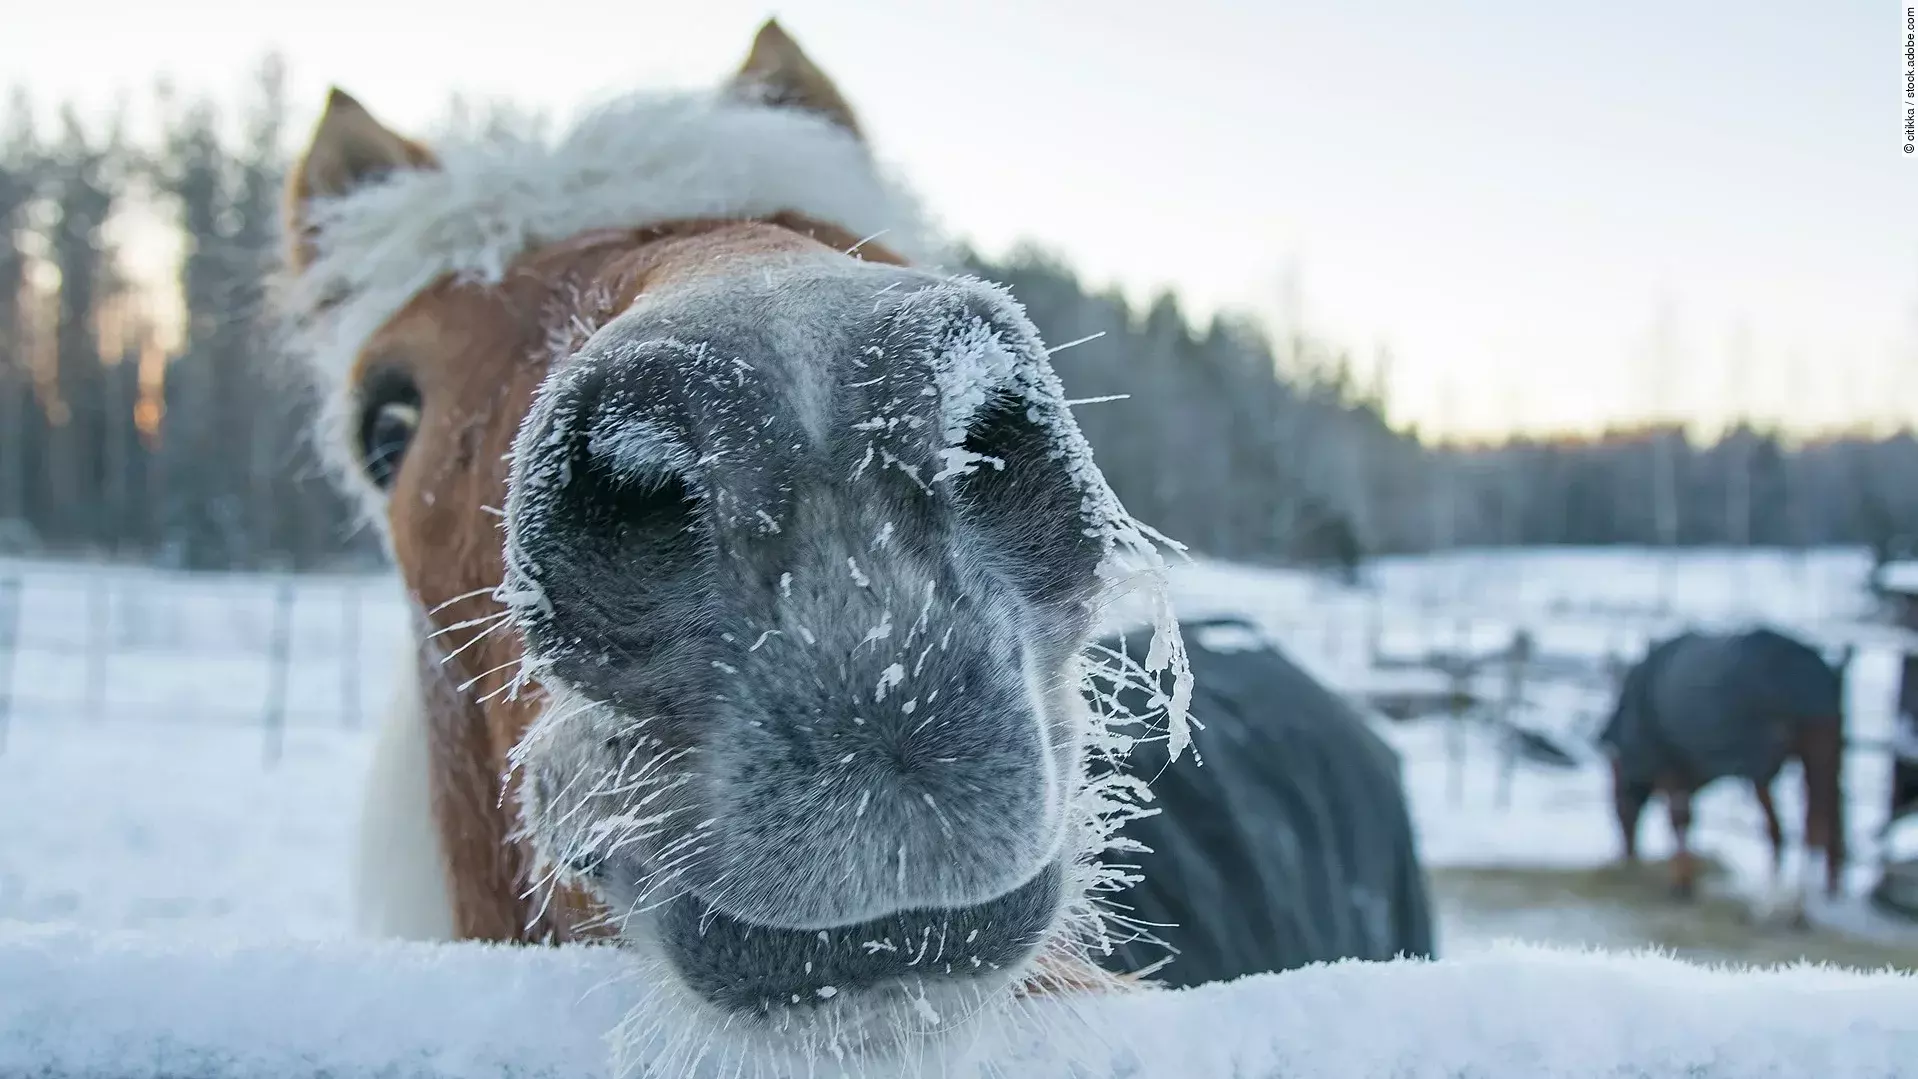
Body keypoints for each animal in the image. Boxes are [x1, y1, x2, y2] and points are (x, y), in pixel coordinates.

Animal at [1597, 627, 1847, 921]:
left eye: (1614, 799)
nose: (1627, 855)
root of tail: (1813, 675)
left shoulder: (1670, 763)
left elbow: (1679, 818)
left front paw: (1681, 884)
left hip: (1763, 763)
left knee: (1781, 830)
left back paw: (1773, 905)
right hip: (1825, 752)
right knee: (1822, 821)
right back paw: (1811, 900)